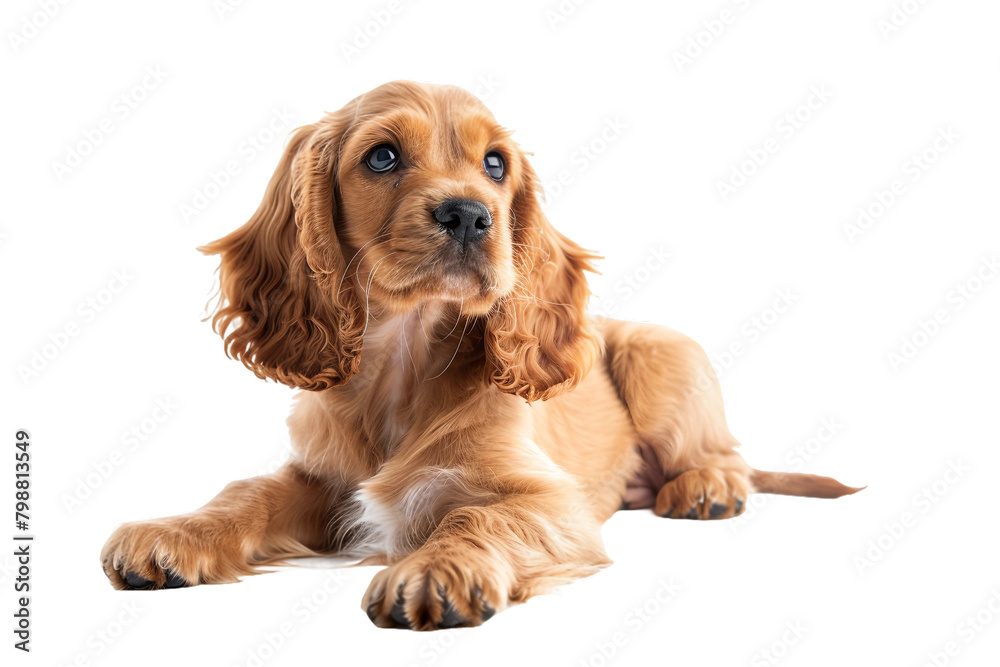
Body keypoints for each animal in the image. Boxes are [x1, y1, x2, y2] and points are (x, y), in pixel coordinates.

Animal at [105, 81, 864, 628]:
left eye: (495, 164)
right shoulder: (320, 480)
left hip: (661, 352)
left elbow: (477, 515)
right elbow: (246, 493)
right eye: (382, 156)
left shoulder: (552, 502)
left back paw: (705, 488)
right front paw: (174, 532)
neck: (403, 366)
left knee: (724, 455)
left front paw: (434, 569)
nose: (471, 214)